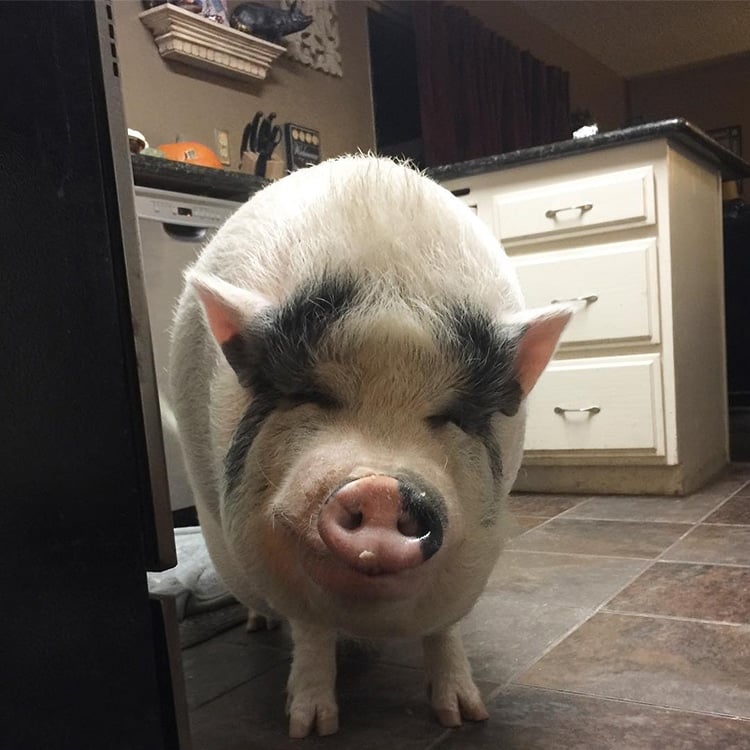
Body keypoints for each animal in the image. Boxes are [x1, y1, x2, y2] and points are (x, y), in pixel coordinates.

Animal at [169, 155, 572, 737]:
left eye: (450, 416)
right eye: (313, 396)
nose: (381, 488)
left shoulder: (476, 549)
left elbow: (443, 632)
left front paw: (465, 717)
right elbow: (311, 635)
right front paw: (310, 729)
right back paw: (256, 626)